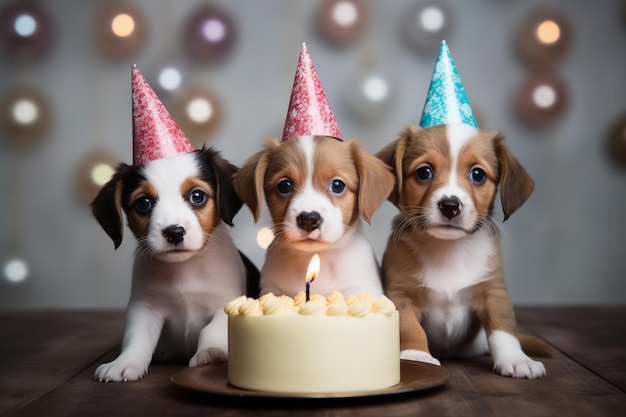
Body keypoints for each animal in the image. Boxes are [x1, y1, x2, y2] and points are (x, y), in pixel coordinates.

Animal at [90, 148, 258, 382]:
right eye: (144, 202)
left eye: (197, 196)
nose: (174, 232)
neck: (184, 269)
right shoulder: (145, 306)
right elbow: (136, 337)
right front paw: (124, 362)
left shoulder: (226, 302)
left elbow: (211, 330)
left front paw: (210, 353)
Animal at [232, 135, 392, 298]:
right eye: (284, 186)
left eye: (338, 185)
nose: (309, 220)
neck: (316, 257)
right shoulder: (272, 289)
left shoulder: (363, 288)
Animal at [376, 122, 544, 376]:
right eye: (424, 172)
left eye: (478, 174)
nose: (450, 206)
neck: (448, 249)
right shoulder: (400, 294)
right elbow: (409, 327)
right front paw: (417, 355)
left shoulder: (493, 291)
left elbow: (504, 328)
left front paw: (516, 359)